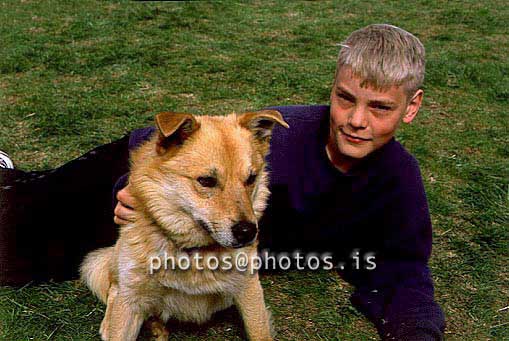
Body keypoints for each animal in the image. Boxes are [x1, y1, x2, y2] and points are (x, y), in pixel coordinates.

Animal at [79, 110, 286, 338]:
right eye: (206, 180)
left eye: (251, 178)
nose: (248, 232)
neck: (194, 253)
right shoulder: (129, 300)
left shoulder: (248, 290)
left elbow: (259, 332)